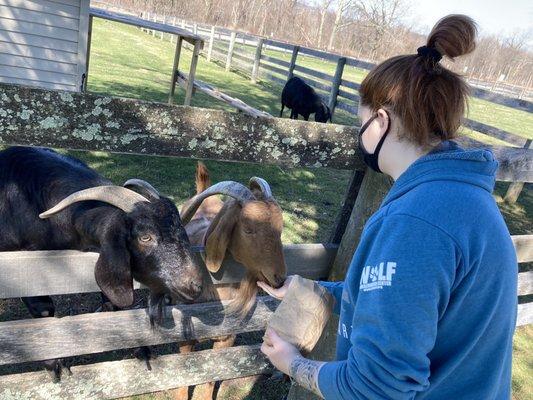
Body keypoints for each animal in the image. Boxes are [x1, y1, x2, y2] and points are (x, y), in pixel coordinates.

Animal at [171, 163, 286, 400]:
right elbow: (183, 375)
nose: (279, 278)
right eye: (248, 228)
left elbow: (211, 376)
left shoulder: (226, 339)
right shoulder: (185, 337)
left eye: (280, 228)